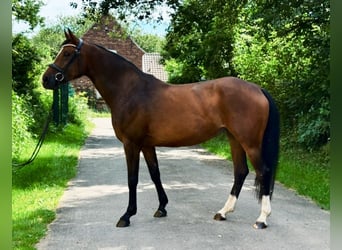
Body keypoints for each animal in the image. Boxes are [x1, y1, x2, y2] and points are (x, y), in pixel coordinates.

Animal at [42, 29, 280, 229]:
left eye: (67, 53)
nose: (46, 79)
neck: (130, 90)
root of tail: (257, 89)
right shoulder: (147, 145)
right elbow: (155, 173)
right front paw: (161, 208)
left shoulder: (131, 144)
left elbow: (132, 178)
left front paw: (127, 215)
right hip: (234, 139)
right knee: (241, 172)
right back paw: (223, 212)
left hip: (249, 142)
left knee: (263, 171)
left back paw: (262, 219)